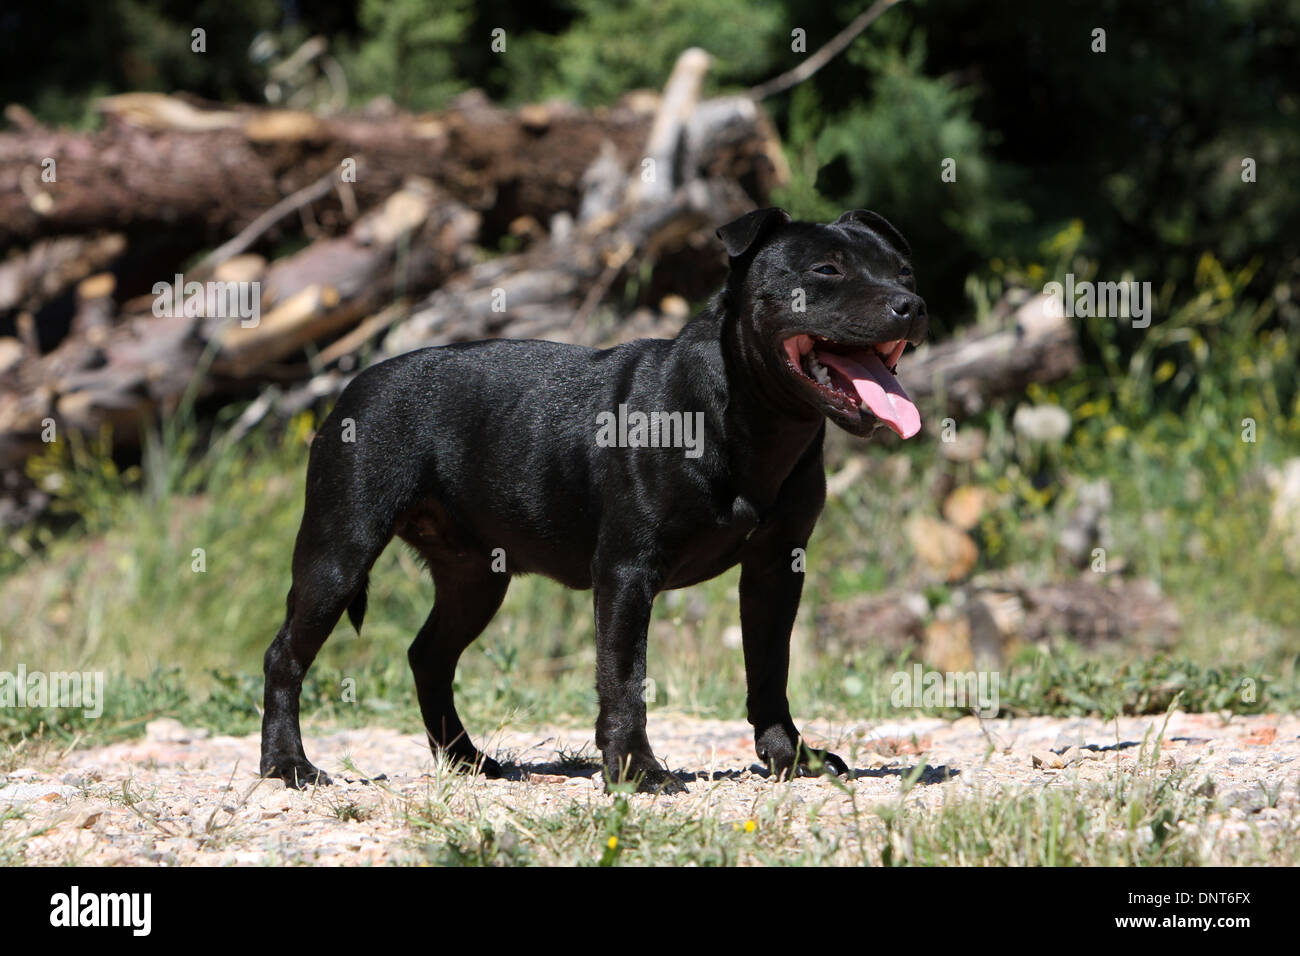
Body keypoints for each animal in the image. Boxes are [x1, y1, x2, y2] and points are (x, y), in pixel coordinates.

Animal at [261, 208, 925, 790]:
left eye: (903, 271)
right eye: (826, 270)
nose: (912, 305)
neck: (753, 420)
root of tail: (353, 385)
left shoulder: (776, 567)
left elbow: (769, 668)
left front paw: (792, 759)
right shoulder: (627, 571)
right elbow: (624, 676)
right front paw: (636, 770)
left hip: (475, 577)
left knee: (429, 656)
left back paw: (468, 762)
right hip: (339, 553)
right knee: (285, 655)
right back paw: (289, 766)